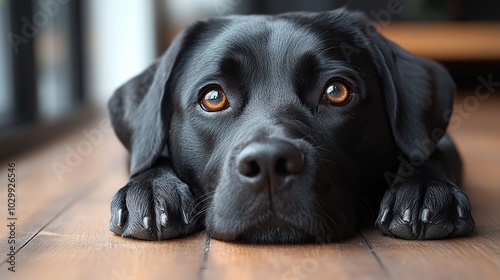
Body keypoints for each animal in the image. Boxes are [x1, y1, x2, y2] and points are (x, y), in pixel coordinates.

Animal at [107, 9, 474, 243]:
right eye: (213, 97)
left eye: (336, 92)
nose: (269, 163)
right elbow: (147, 159)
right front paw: (151, 190)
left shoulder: (441, 140)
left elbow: (429, 153)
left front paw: (424, 190)